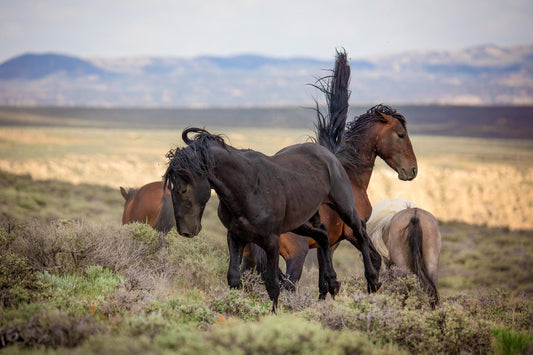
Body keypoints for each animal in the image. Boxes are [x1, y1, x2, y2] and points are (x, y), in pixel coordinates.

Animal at [164, 128, 380, 312]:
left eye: (183, 189)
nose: (186, 231)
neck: (248, 188)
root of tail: (327, 155)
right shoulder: (235, 236)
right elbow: (234, 278)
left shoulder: (271, 240)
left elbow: (273, 285)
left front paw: (274, 315)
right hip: (302, 222)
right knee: (323, 235)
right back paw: (333, 283)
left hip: (343, 206)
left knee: (360, 231)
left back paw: (372, 281)